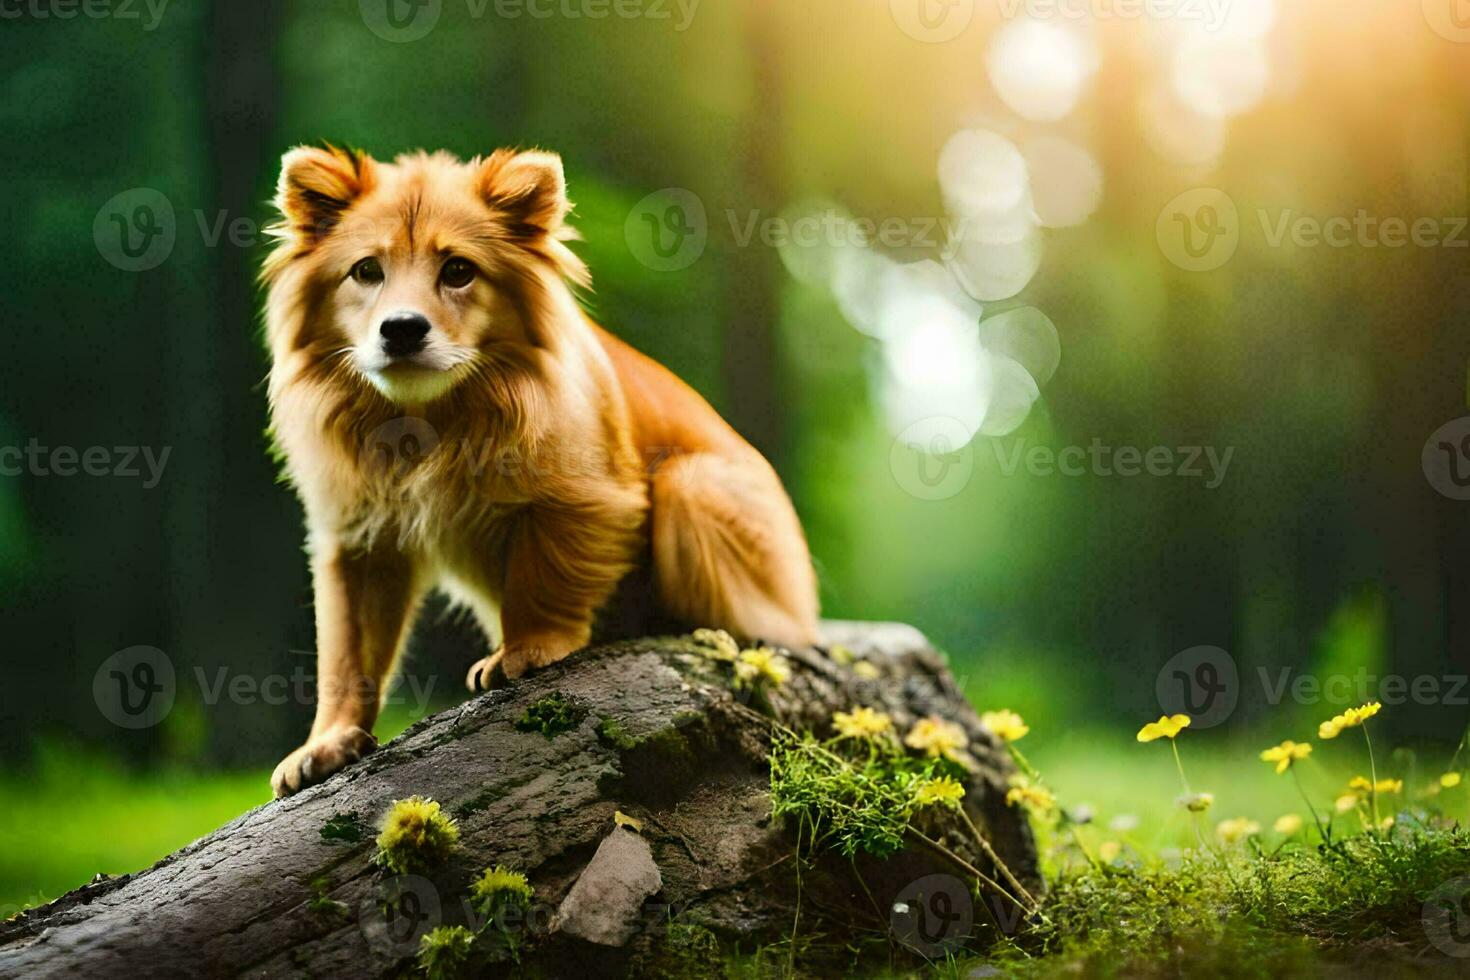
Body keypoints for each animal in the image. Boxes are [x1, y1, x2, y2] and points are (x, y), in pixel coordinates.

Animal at [260, 145, 823, 799]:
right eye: (367, 271)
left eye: (458, 270)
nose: (401, 328)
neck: (429, 422)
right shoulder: (357, 540)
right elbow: (348, 653)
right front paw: (328, 742)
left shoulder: (581, 499)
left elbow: (541, 576)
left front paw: (528, 649)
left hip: (695, 486)